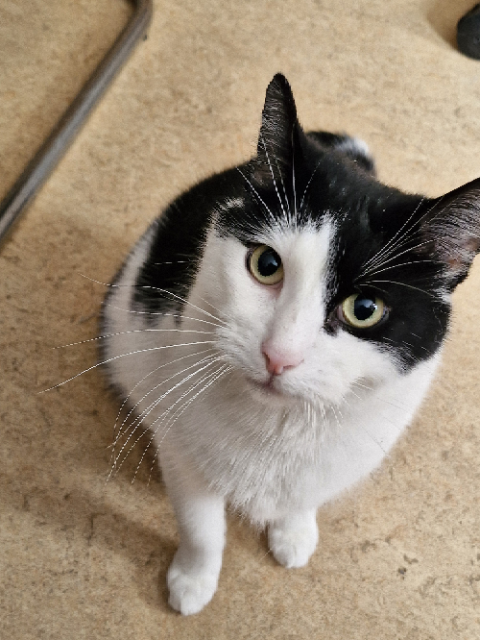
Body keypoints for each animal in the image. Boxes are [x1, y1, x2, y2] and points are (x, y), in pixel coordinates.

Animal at [100, 73, 480, 615]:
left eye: (365, 309)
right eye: (266, 264)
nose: (278, 355)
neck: (282, 427)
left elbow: (305, 495)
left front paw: (293, 533)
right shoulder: (184, 452)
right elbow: (201, 528)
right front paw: (193, 581)